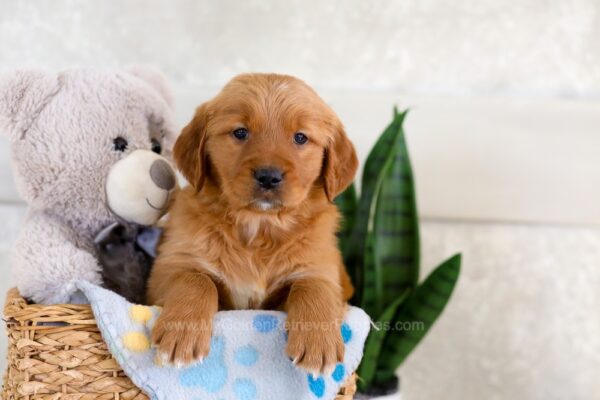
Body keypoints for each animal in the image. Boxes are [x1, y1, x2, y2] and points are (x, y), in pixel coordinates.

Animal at [148, 72, 358, 372]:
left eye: (300, 138)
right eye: (240, 132)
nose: (268, 177)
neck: (259, 226)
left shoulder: (321, 268)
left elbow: (313, 286)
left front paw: (319, 344)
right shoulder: (168, 268)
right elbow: (196, 279)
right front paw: (182, 334)